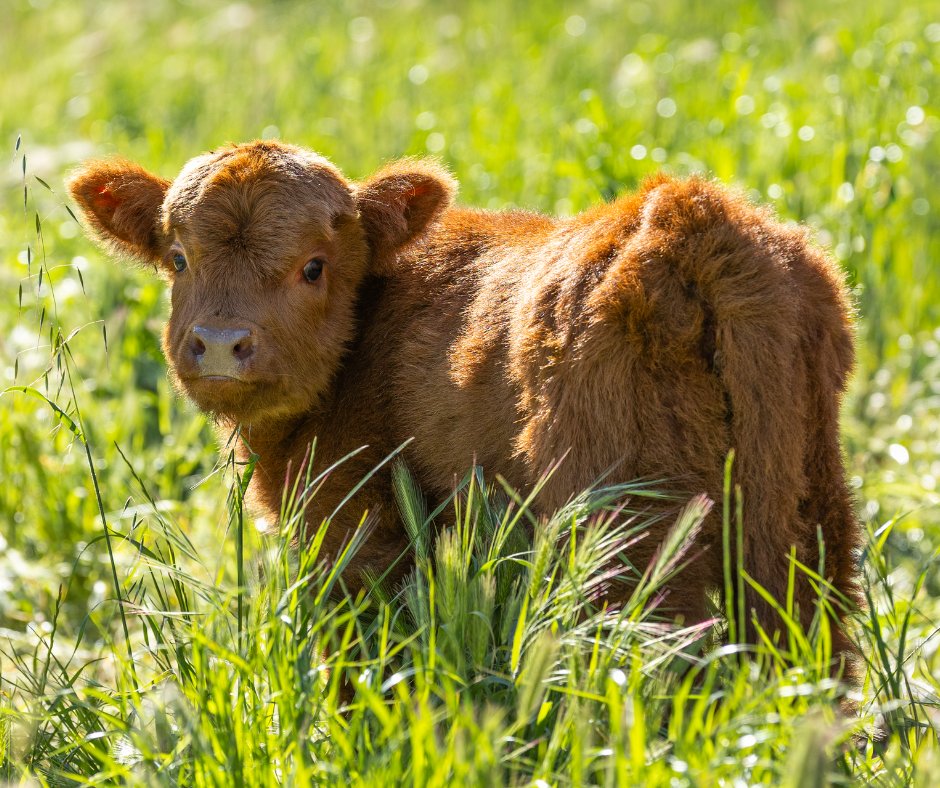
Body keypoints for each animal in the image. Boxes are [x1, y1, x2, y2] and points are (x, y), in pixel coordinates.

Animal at [68, 140, 862, 677]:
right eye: (178, 259)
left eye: (313, 267)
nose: (221, 344)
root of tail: (687, 214)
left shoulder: (352, 525)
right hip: (807, 518)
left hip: (629, 530)